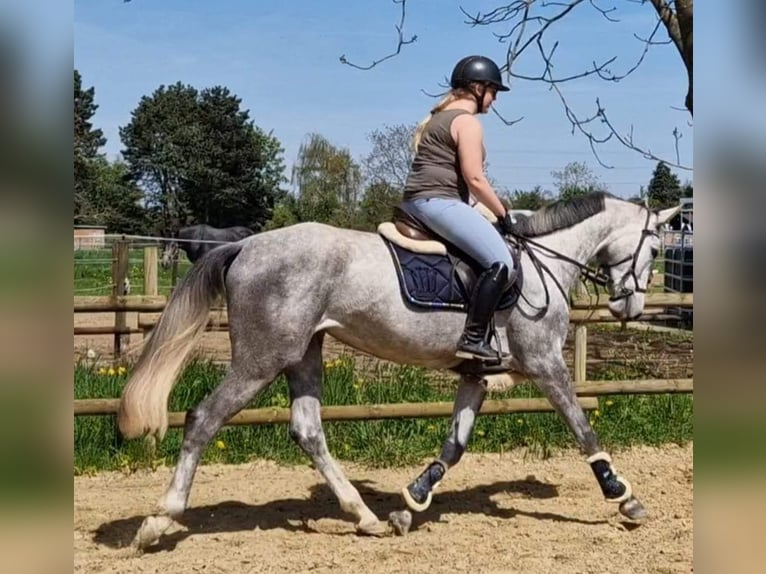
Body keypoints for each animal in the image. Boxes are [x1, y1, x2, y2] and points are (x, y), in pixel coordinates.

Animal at [118, 195, 680, 552]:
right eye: (655, 248)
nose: (629, 307)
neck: (542, 266)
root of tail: (247, 245)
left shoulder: (475, 375)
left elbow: (454, 446)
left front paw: (411, 503)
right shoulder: (546, 363)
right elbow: (583, 429)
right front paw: (624, 497)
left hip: (304, 354)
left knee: (308, 430)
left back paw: (364, 517)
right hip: (261, 358)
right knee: (204, 418)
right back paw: (159, 521)